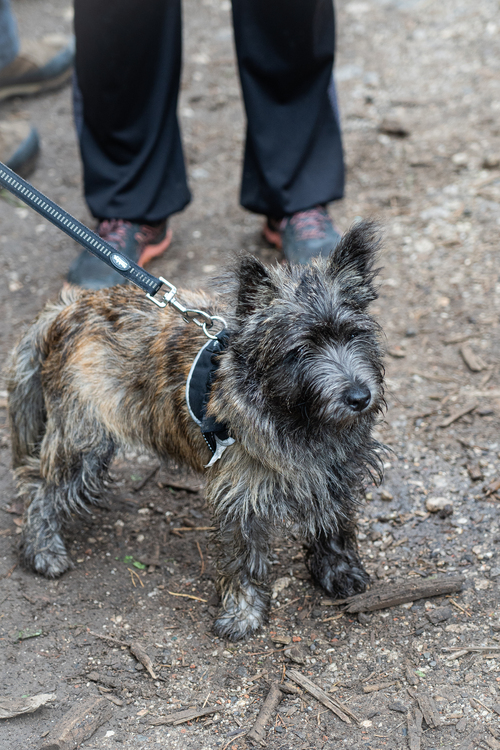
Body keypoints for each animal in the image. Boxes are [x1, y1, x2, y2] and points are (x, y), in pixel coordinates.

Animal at [7, 220, 384, 644]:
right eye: (301, 349)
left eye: (354, 334)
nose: (359, 397)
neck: (298, 417)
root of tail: (68, 307)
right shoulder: (241, 497)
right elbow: (243, 558)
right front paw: (242, 614)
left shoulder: (334, 476)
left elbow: (333, 526)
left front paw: (339, 572)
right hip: (83, 442)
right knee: (40, 486)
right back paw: (43, 551)